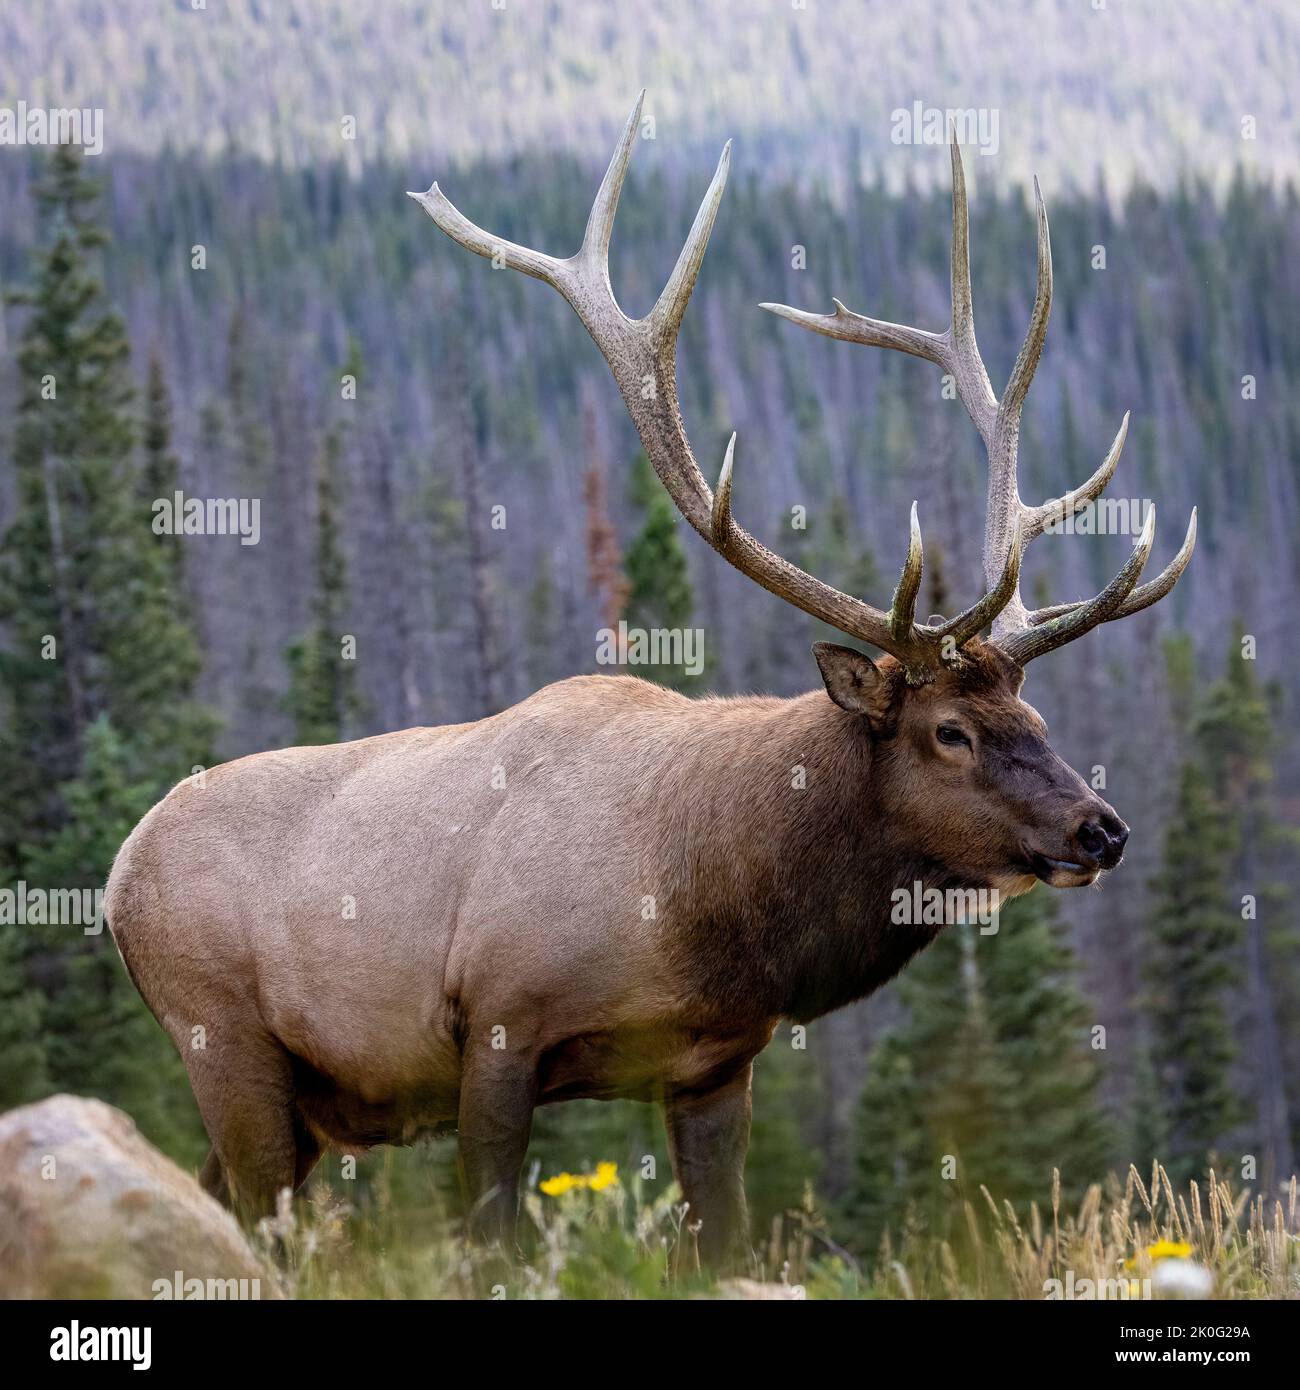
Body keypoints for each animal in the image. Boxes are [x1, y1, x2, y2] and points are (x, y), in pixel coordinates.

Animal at [107, 95, 1195, 1273]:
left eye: (1033, 712)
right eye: (949, 729)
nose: (1100, 829)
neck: (700, 905)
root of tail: (115, 879)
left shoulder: (716, 1063)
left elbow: (723, 1240)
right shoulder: (496, 1021)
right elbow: (492, 1236)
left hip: (294, 1096)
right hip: (225, 1040)